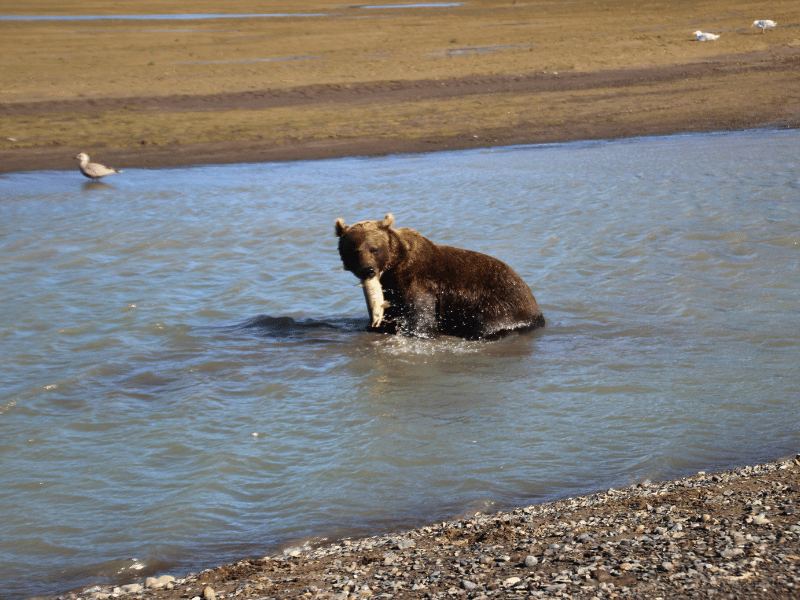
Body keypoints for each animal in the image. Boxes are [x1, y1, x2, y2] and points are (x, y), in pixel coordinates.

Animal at [335, 213, 545, 340]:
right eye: (354, 251)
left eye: (374, 249)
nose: (368, 270)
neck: (395, 267)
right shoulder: (392, 289)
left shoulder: (419, 283)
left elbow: (420, 318)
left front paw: (417, 333)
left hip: (499, 306)